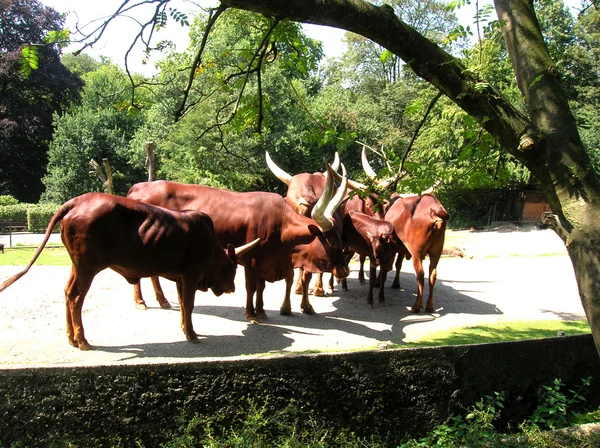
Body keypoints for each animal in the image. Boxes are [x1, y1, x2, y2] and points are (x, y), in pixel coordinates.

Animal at [0, 192, 256, 350]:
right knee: (75, 297)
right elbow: (189, 304)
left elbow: (184, 305)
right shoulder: (191, 275)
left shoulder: (181, 278)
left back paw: (71, 337)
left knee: (66, 291)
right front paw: (192, 334)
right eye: (232, 268)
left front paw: (185, 328)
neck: (208, 242)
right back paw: (81, 339)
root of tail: (78, 201)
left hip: (77, 265)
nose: (232, 288)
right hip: (87, 268)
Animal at [127, 163, 352, 320]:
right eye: (332, 242)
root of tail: (138, 188)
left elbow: (261, 286)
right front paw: (251, 314)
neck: (279, 221)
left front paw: (261, 311)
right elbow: (252, 286)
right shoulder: (251, 259)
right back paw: (140, 301)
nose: (344, 271)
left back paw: (162, 300)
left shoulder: (264, 260)